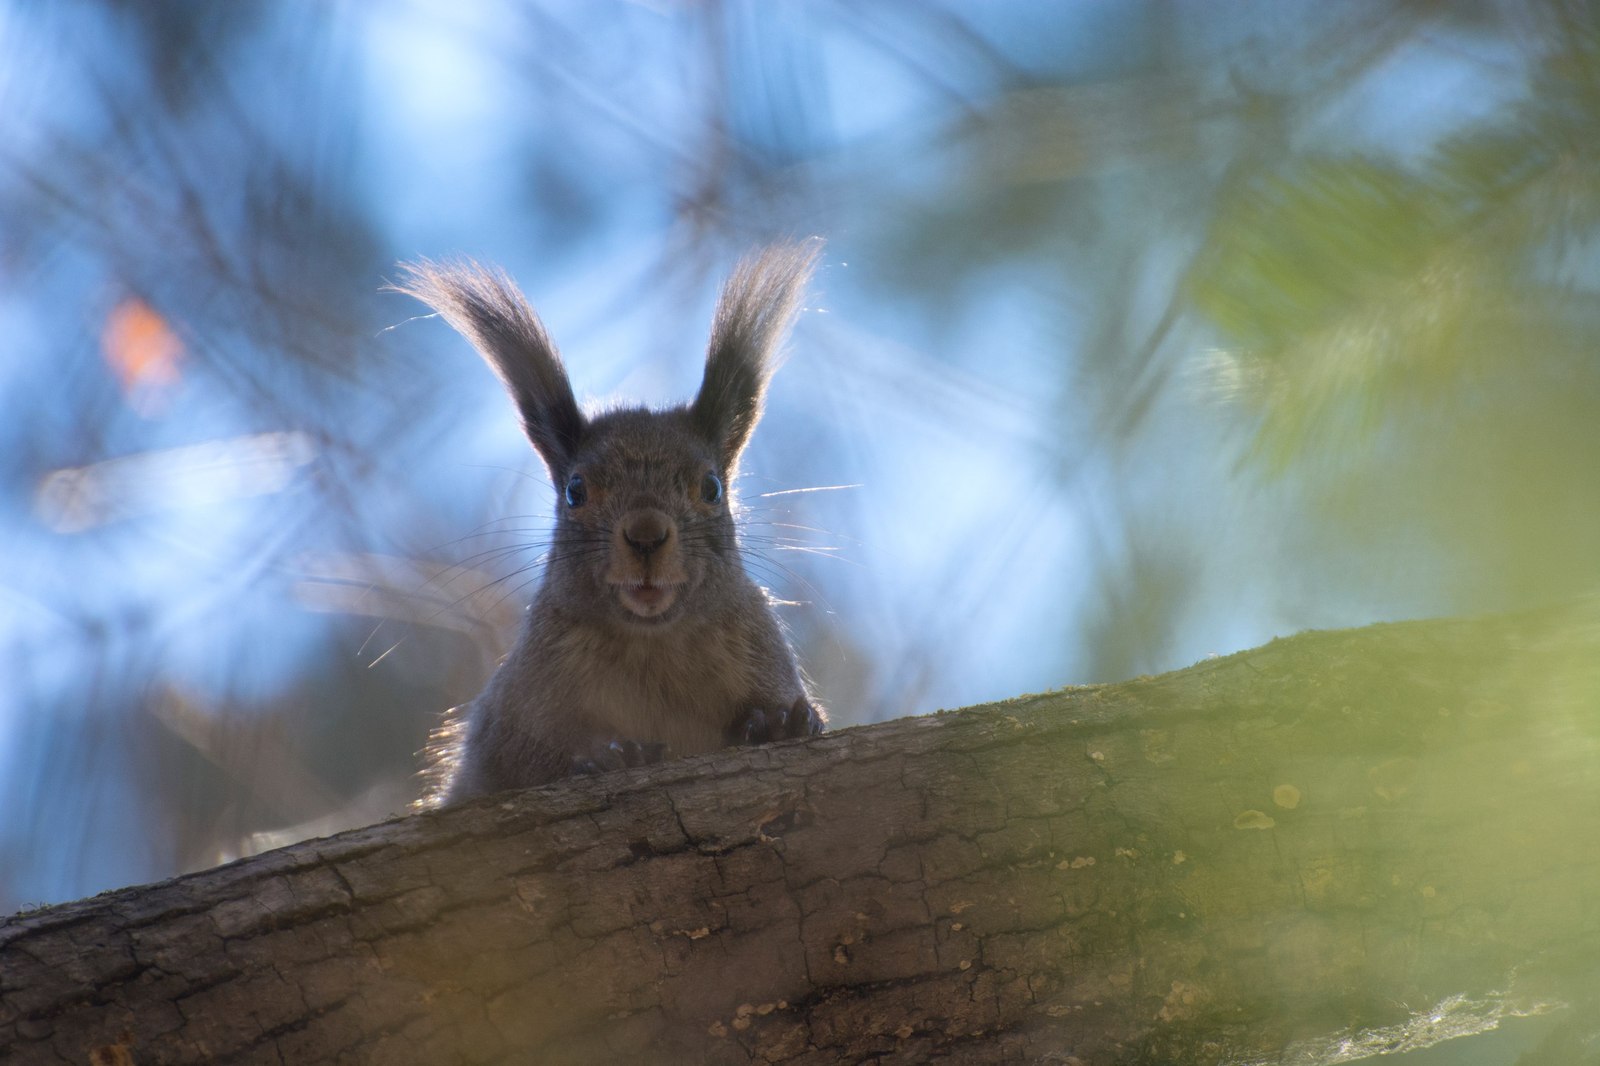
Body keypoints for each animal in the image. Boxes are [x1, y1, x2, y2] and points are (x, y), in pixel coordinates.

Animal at [395, 240, 832, 800]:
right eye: (575, 491)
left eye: (712, 487)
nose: (646, 535)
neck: (653, 644)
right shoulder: (510, 714)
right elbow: (520, 759)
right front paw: (605, 756)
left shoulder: (760, 652)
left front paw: (780, 723)